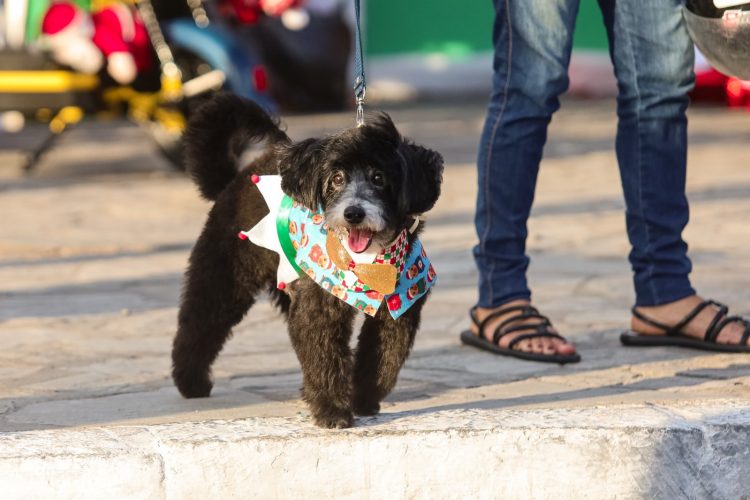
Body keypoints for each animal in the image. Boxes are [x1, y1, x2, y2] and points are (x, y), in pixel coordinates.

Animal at [171, 93, 443, 428]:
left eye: (379, 178)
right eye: (337, 179)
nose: (354, 213)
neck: (369, 264)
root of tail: (233, 179)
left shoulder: (398, 311)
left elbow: (382, 360)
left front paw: (362, 400)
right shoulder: (320, 309)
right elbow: (324, 357)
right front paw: (332, 410)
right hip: (225, 274)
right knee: (199, 321)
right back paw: (191, 382)